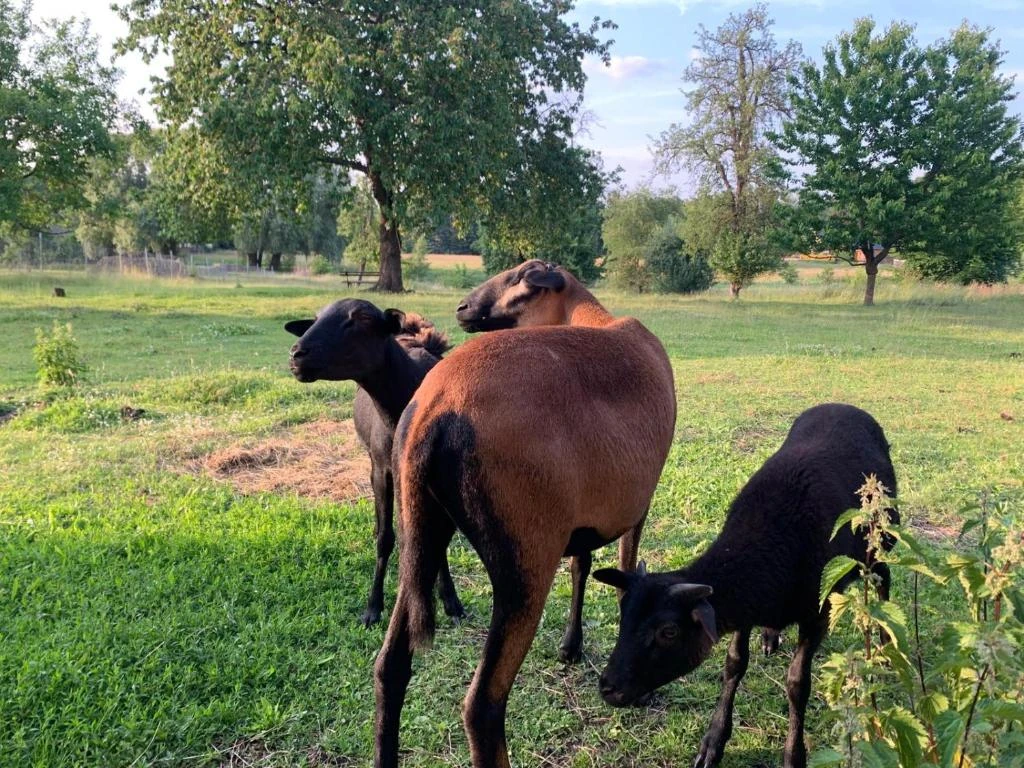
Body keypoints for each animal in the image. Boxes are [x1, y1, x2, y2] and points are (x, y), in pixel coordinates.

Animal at [285, 299, 465, 627]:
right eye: (314, 320)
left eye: (363, 319)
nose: (296, 355)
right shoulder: (383, 470)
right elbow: (385, 539)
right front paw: (373, 608)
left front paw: (451, 601)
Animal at [374, 261, 677, 768]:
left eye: (517, 278)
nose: (462, 307)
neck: (596, 319)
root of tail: (436, 407)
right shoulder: (637, 505)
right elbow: (625, 576)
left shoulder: (584, 516)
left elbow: (583, 565)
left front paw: (571, 646)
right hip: (525, 559)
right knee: (483, 705)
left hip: (422, 532)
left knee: (389, 668)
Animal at [593, 402, 898, 768]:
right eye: (622, 615)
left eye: (669, 632)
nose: (607, 687)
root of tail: (843, 405)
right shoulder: (745, 607)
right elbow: (734, 663)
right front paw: (713, 743)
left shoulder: (817, 612)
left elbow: (797, 684)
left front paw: (793, 755)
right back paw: (771, 635)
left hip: (879, 537)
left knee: (884, 578)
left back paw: (887, 646)